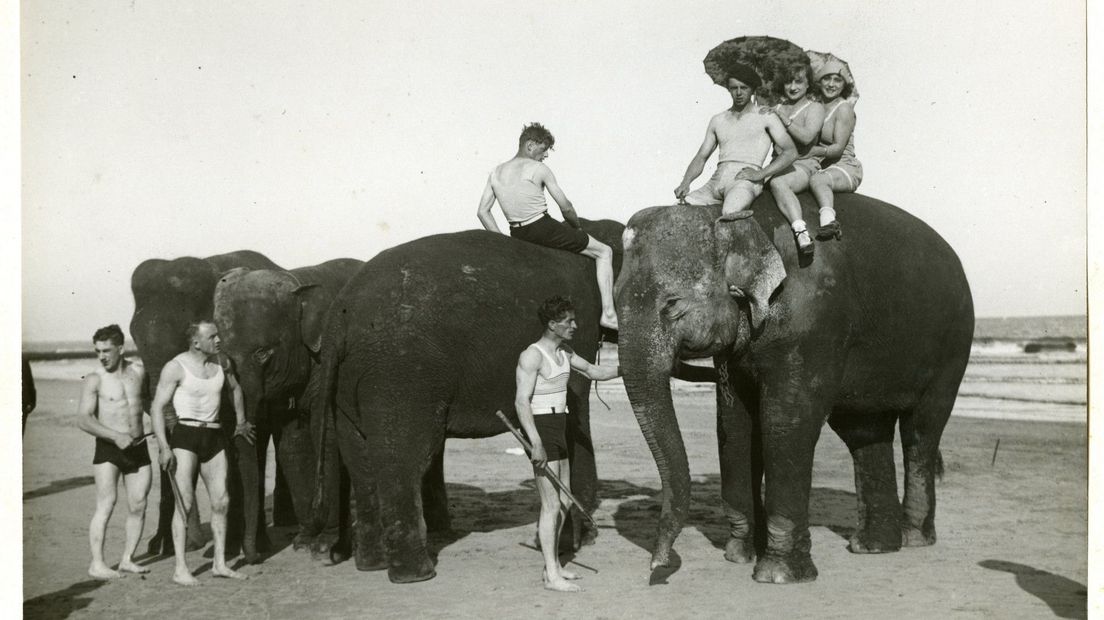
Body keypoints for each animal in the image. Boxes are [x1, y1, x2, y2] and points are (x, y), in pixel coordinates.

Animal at [214, 255, 366, 560]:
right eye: (221, 351)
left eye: (262, 354)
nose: (253, 559)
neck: (297, 282)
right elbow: (291, 445)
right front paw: (305, 542)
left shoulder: (328, 358)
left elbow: (326, 438)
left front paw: (324, 547)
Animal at [618, 195, 971, 582]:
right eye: (615, 303)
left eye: (672, 305)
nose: (657, 567)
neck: (733, 216)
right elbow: (734, 424)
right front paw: (739, 555)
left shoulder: (812, 322)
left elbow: (785, 420)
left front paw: (778, 574)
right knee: (865, 432)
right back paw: (874, 546)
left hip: (953, 348)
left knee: (921, 431)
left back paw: (913, 538)